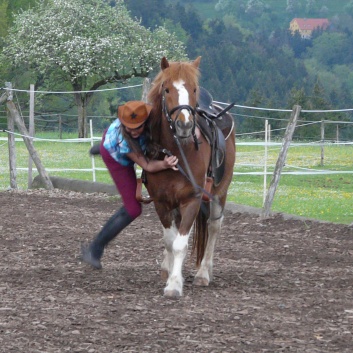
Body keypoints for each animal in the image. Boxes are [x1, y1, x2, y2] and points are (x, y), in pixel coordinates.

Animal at [144, 56, 235, 296]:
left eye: (194, 89)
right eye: (166, 89)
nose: (184, 125)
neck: (177, 151)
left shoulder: (192, 199)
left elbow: (180, 244)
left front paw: (175, 284)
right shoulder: (161, 202)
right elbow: (170, 240)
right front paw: (171, 274)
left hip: (219, 192)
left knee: (213, 227)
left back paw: (204, 272)